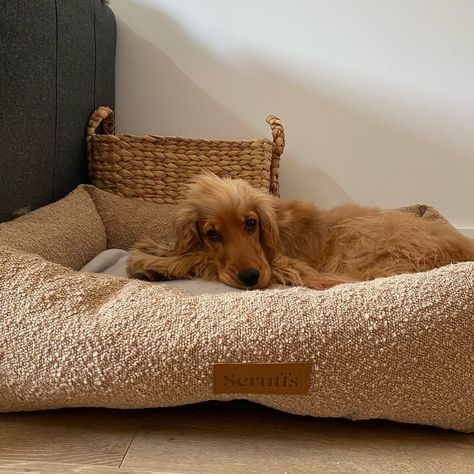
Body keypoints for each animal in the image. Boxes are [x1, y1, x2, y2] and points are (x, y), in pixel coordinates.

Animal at [127, 173, 474, 288]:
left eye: (251, 223)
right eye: (213, 233)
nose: (250, 278)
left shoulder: (280, 262)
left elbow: (198, 260)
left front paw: (150, 263)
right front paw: (156, 252)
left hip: (359, 237)